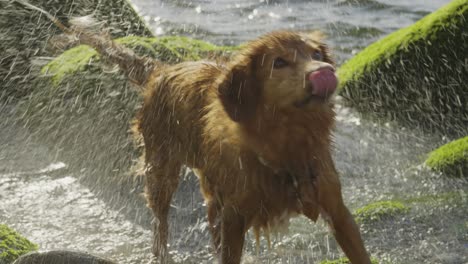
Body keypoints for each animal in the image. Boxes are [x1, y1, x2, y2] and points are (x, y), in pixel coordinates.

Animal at [21, 2, 370, 262]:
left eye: (316, 55)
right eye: (279, 63)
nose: (324, 72)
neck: (285, 145)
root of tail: (162, 70)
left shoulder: (337, 209)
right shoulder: (235, 215)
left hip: (211, 189)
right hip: (162, 172)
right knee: (160, 224)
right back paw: (161, 253)